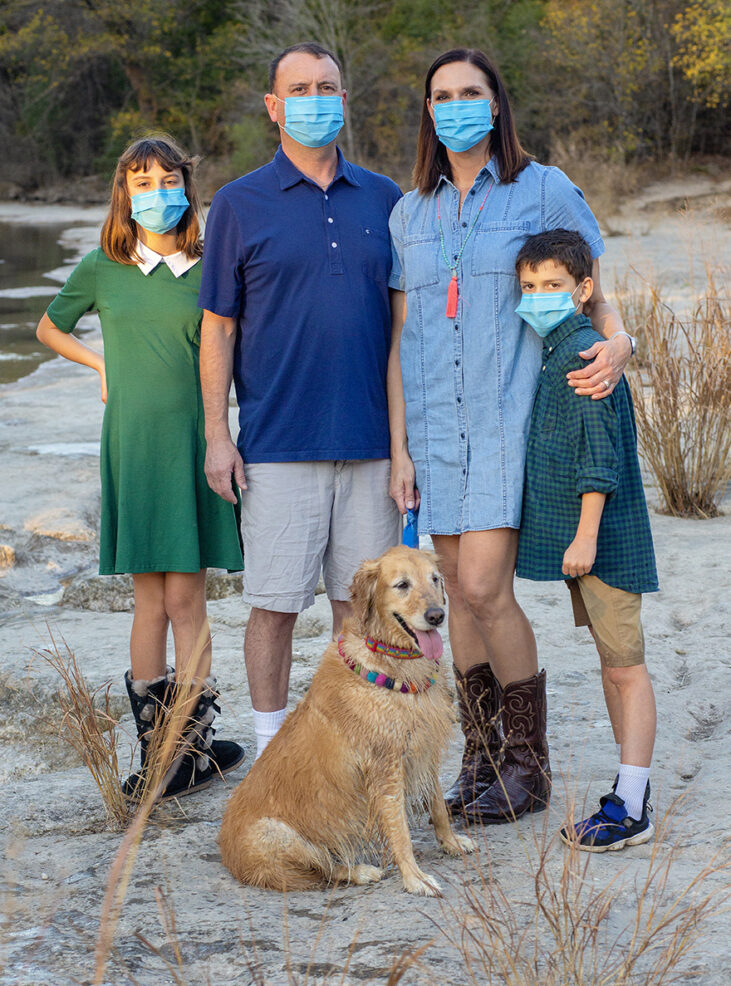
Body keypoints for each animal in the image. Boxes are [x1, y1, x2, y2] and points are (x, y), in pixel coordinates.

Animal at [220, 540, 478, 896]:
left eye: (435, 579)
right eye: (402, 584)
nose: (436, 616)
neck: (392, 660)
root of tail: (227, 856)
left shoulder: (421, 749)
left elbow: (438, 804)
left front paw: (450, 842)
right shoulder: (386, 767)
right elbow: (400, 830)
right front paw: (415, 877)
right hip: (276, 834)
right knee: (324, 870)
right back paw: (361, 871)